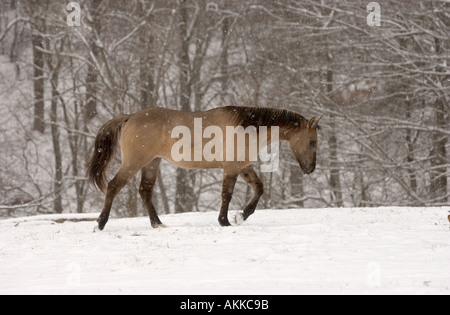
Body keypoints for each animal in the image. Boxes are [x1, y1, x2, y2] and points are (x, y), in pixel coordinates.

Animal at [88, 107, 320, 231]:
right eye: (312, 142)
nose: (310, 169)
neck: (248, 128)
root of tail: (130, 117)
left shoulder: (243, 166)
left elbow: (259, 189)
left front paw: (241, 216)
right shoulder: (232, 168)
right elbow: (227, 194)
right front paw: (225, 221)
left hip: (151, 163)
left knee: (145, 191)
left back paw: (158, 224)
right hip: (134, 162)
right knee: (114, 186)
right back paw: (100, 223)